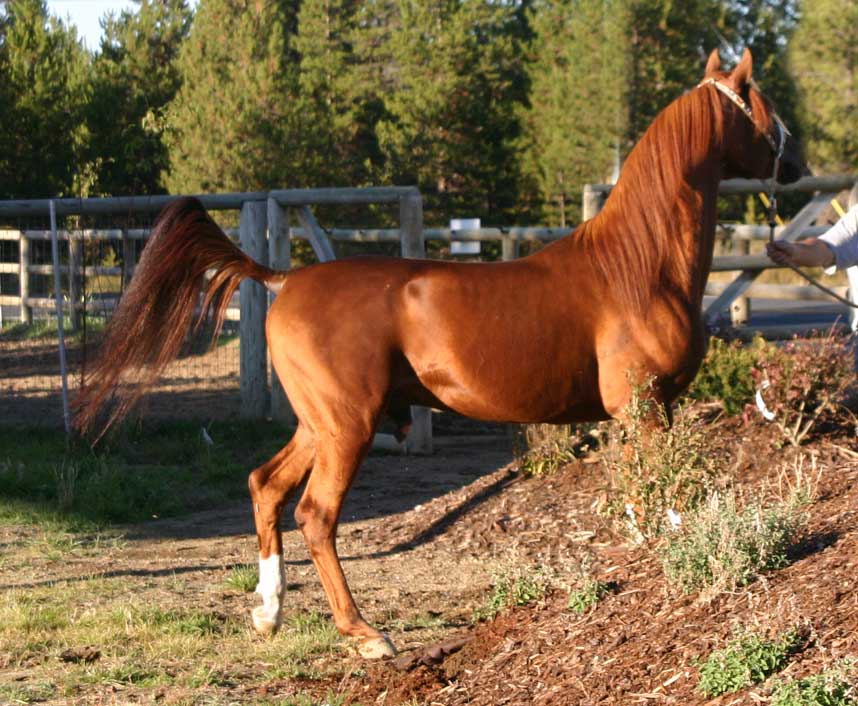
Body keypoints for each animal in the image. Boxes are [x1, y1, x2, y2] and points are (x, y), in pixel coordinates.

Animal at [75, 48, 804, 659]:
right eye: (760, 102)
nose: (795, 165)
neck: (635, 266)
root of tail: (283, 278)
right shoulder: (644, 409)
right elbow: (664, 494)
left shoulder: (639, 413)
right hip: (347, 426)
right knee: (315, 515)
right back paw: (366, 634)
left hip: (319, 424)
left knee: (265, 487)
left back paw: (269, 612)